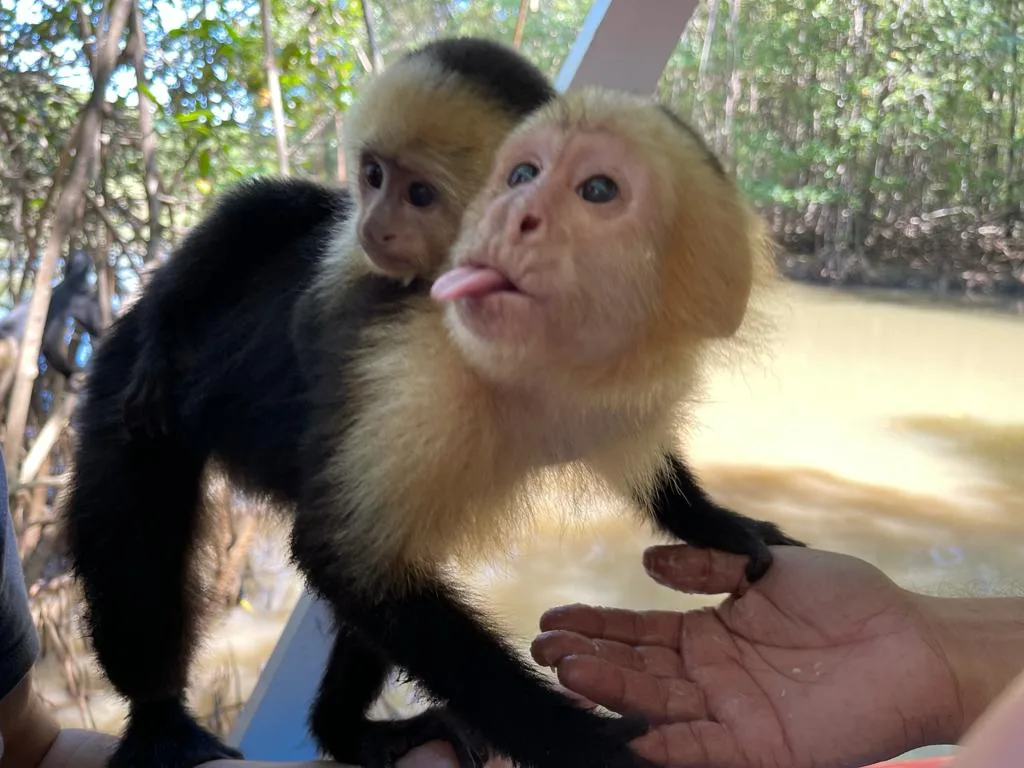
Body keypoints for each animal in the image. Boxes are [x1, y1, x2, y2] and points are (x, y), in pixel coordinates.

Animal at [59, 36, 558, 768]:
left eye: (421, 195)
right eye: (376, 176)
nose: (378, 225)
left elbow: (369, 563)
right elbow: (337, 553)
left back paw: (345, 731)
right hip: (123, 393)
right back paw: (159, 720)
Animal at [286, 86, 805, 768]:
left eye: (598, 190)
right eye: (523, 175)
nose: (515, 213)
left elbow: (654, 474)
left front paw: (720, 525)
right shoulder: (422, 380)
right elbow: (345, 563)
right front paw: (583, 745)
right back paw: (349, 731)